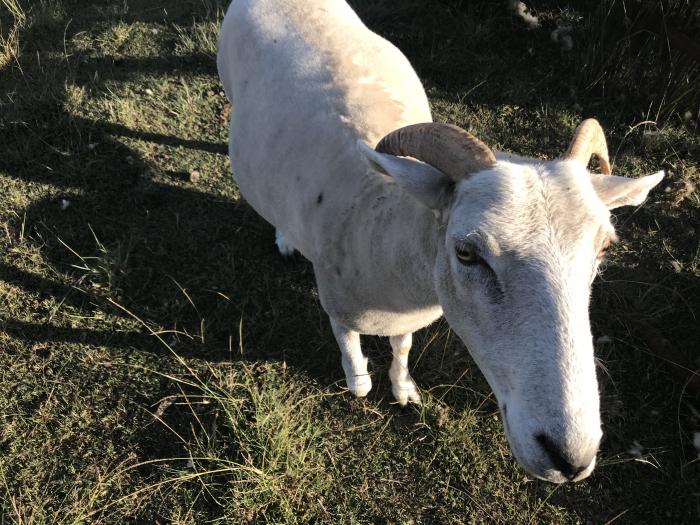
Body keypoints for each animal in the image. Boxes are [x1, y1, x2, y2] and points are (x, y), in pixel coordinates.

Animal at [217, 0, 664, 484]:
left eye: (605, 248)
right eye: (466, 253)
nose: (570, 458)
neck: (381, 225)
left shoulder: (407, 317)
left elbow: (403, 347)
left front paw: (403, 389)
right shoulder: (338, 305)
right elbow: (351, 351)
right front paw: (359, 384)